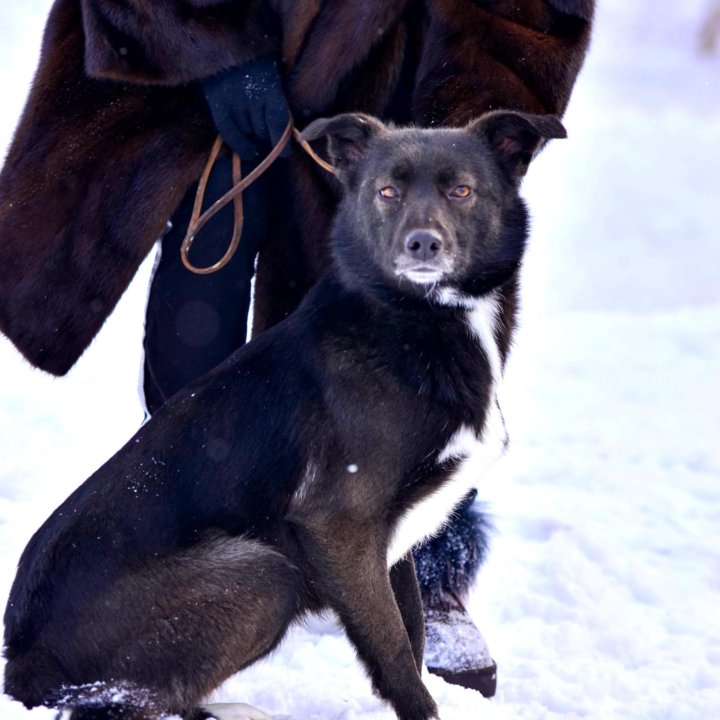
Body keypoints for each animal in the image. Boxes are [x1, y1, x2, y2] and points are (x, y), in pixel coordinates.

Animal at [2, 108, 564, 720]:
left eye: (461, 190)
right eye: (387, 192)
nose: (422, 244)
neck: (415, 319)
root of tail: (23, 658)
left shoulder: (392, 543)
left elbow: (411, 634)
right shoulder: (338, 526)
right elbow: (394, 650)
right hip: (263, 573)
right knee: (121, 700)